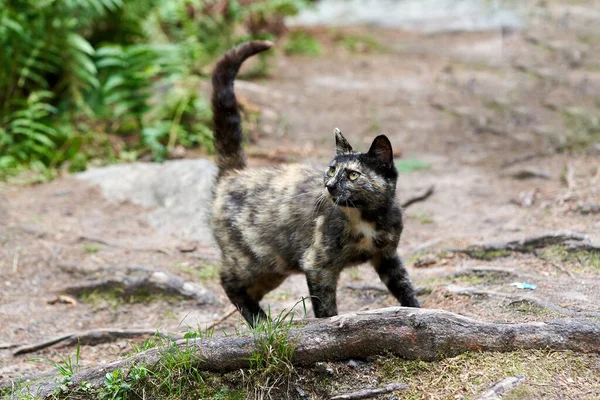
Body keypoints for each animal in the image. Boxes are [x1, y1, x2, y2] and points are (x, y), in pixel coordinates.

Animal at [209, 40, 420, 326]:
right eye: (331, 170)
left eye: (352, 175)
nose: (329, 187)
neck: (365, 218)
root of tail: (236, 173)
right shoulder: (318, 265)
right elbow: (325, 308)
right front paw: (329, 328)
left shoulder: (387, 257)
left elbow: (405, 288)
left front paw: (422, 312)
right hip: (253, 260)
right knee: (228, 282)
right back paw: (260, 322)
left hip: (274, 269)